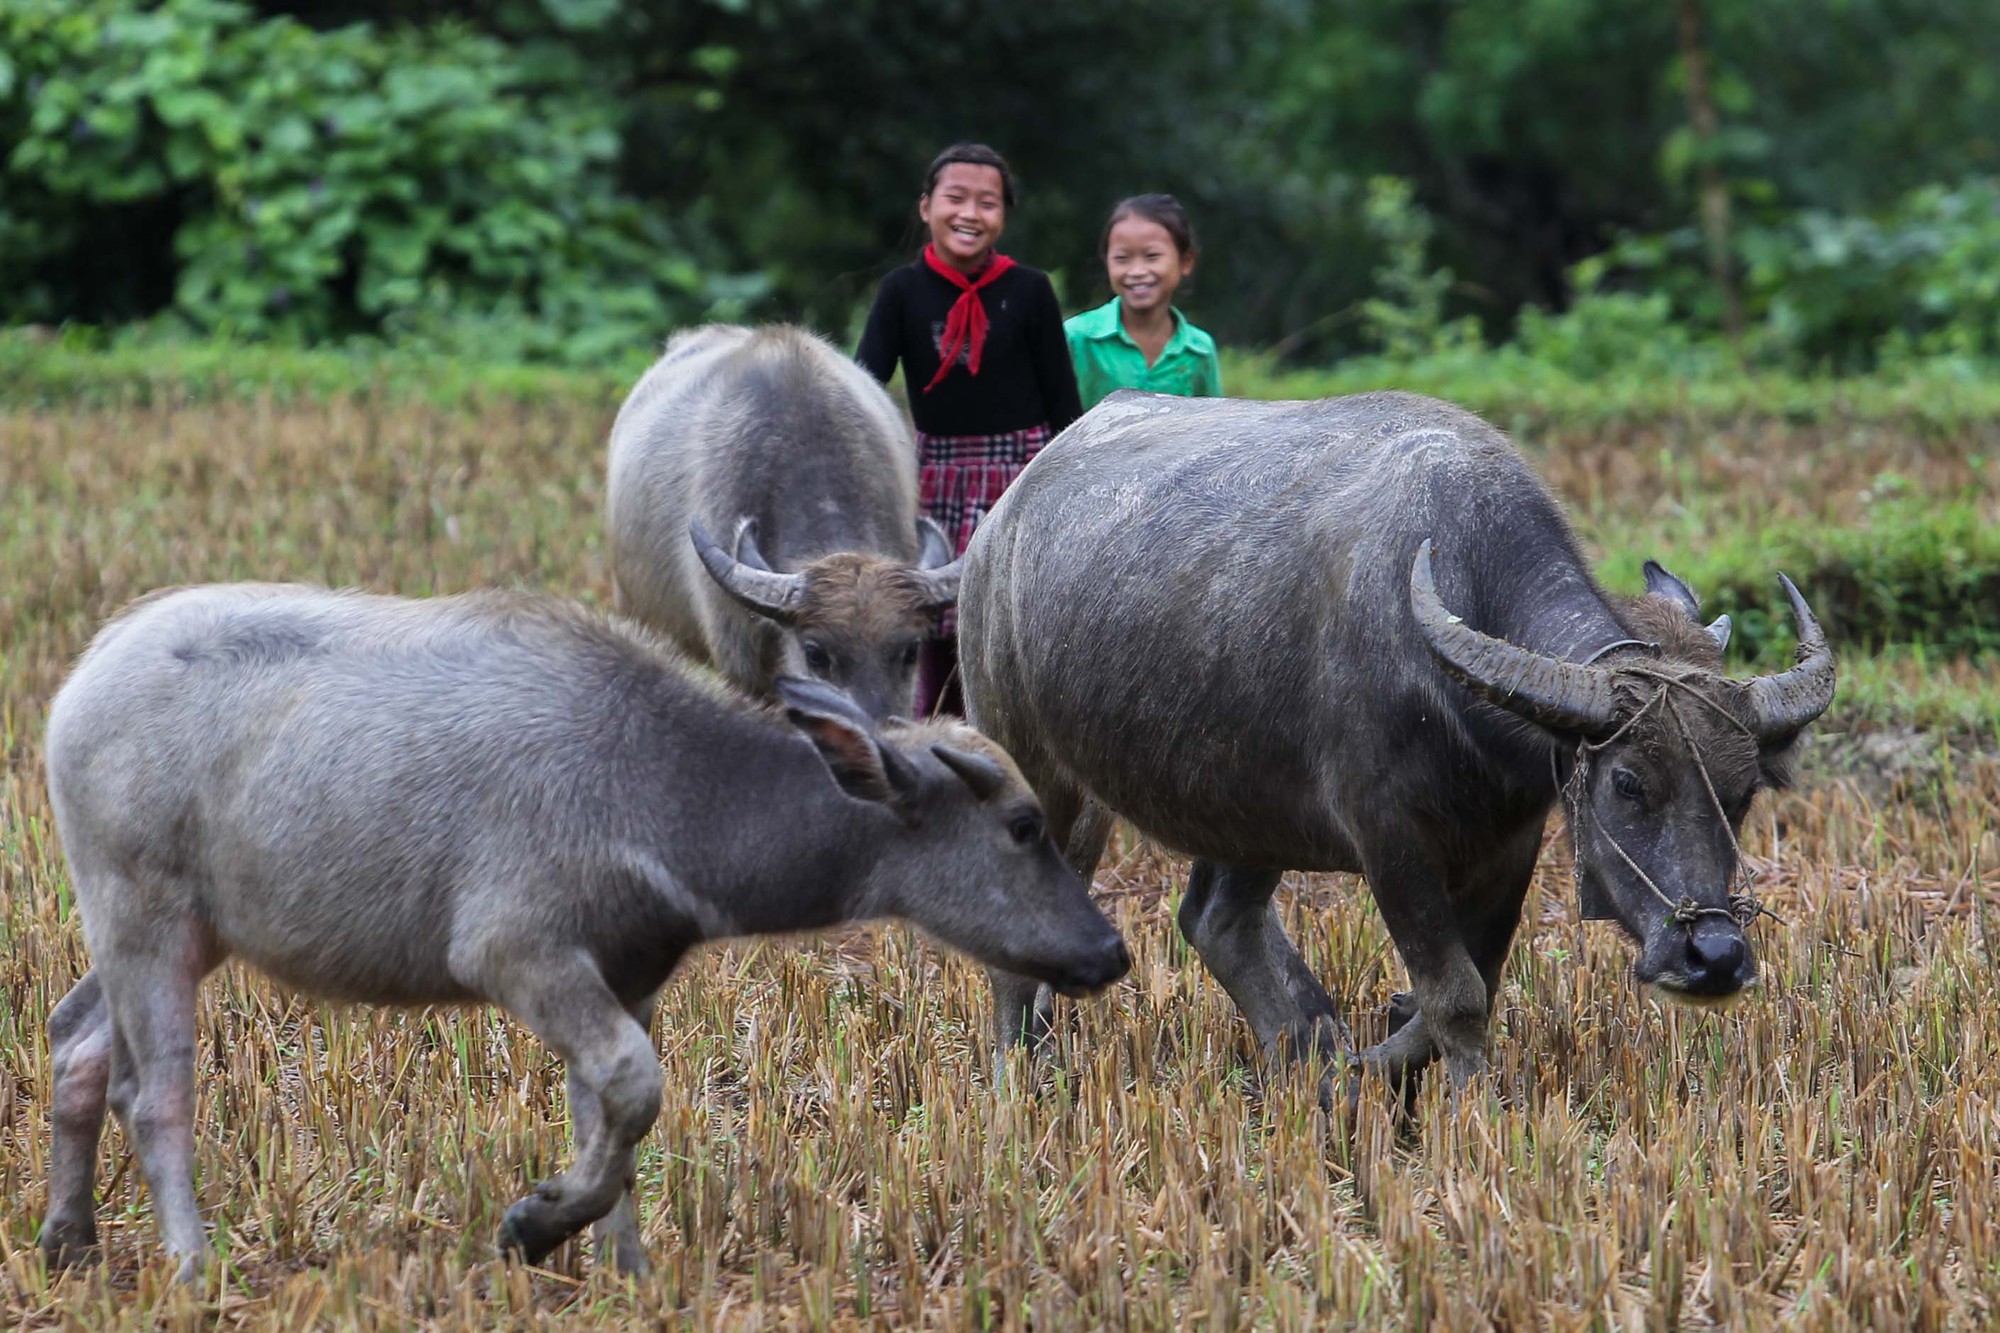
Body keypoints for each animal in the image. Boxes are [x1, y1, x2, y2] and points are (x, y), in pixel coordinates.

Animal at [39, 580, 1128, 1280]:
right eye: (1022, 825)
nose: (1109, 950)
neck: (664, 784)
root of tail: (81, 681)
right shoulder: (519, 955)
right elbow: (636, 1086)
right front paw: (534, 1223)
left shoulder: (625, 976)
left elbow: (608, 1111)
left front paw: (621, 1263)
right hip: (144, 917)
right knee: (153, 1092)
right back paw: (189, 1261)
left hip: (170, 933)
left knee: (75, 1039)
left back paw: (68, 1239)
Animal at [960, 386, 1832, 1088]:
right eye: (1627, 783)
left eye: (1742, 793)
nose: (1713, 957)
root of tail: (1000, 526)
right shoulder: (1389, 838)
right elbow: (1457, 993)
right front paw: (1476, 1105)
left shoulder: (1507, 842)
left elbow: (1472, 981)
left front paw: (1367, 1058)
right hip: (1039, 768)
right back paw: (1017, 1076)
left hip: (1246, 801)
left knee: (1217, 920)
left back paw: (1306, 1065)